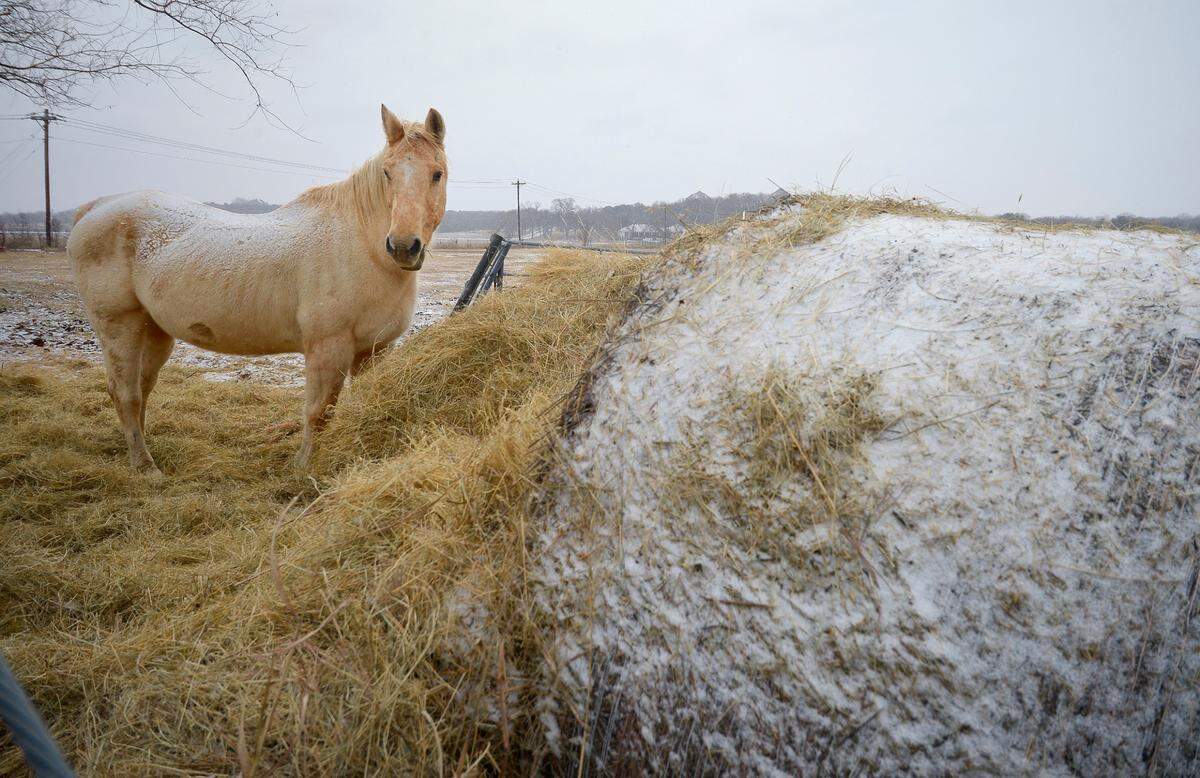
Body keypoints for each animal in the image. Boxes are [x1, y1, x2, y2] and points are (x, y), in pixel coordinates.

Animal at [67, 105, 447, 474]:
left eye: (437, 173)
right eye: (387, 173)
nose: (403, 247)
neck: (363, 247)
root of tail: (95, 208)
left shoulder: (375, 349)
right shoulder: (327, 348)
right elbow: (318, 412)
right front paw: (303, 469)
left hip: (155, 329)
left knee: (143, 388)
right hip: (119, 325)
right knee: (125, 393)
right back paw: (145, 467)